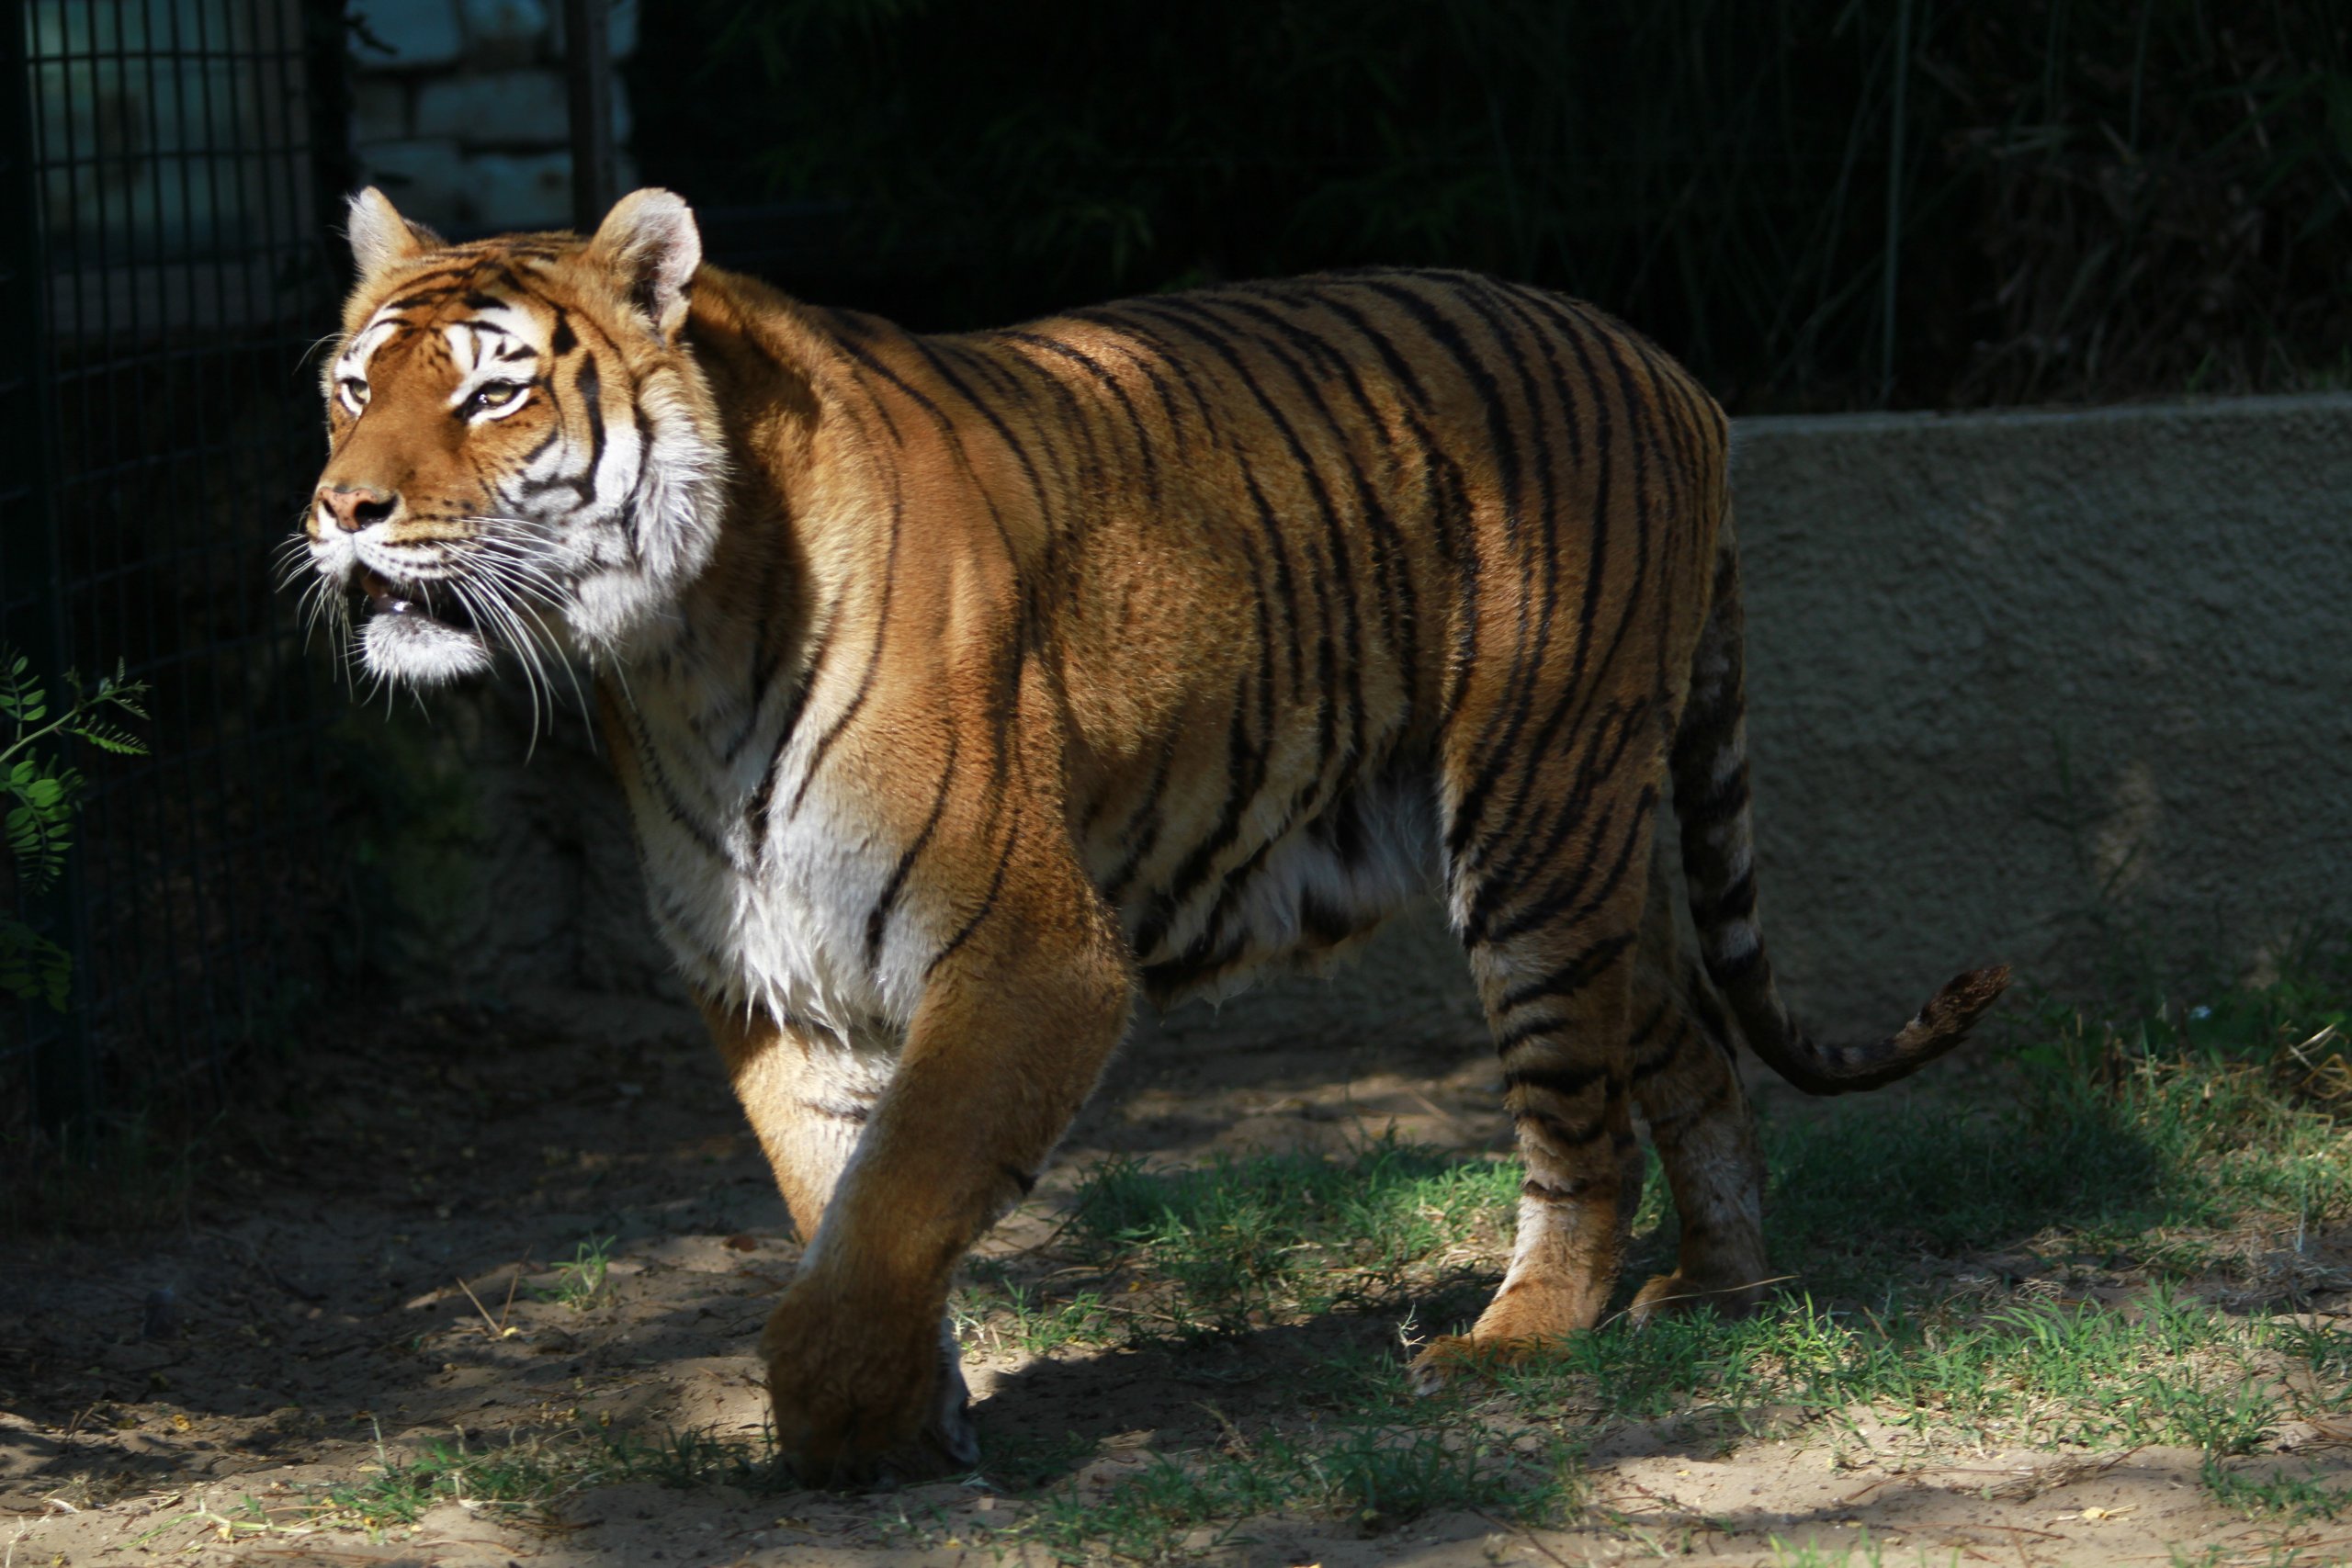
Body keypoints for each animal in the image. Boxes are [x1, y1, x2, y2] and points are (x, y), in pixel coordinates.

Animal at [303, 184, 2013, 1485]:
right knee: (1691, 1047)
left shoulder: (1026, 950)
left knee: (1579, 1130)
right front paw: (908, 1417)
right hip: (1585, 855)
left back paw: (1514, 1340)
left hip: (1533, 829)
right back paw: (1721, 1290)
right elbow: (839, 1200)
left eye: (494, 390)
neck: (676, 650)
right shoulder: (776, 979)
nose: (342, 512)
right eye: (352, 388)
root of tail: (1674, 371)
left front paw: (844, 1422)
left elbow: (899, 1198)